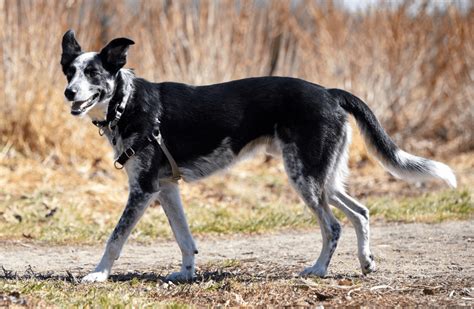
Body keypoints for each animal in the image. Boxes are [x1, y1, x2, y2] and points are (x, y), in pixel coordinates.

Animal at [60, 29, 456, 282]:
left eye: (93, 73)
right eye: (69, 71)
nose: (68, 93)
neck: (126, 102)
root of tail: (329, 92)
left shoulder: (143, 190)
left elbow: (115, 239)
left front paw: (97, 274)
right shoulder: (166, 189)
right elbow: (185, 239)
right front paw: (186, 275)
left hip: (304, 177)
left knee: (333, 225)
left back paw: (318, 271)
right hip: (322, 177)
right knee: (360, 212)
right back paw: (366, 263)